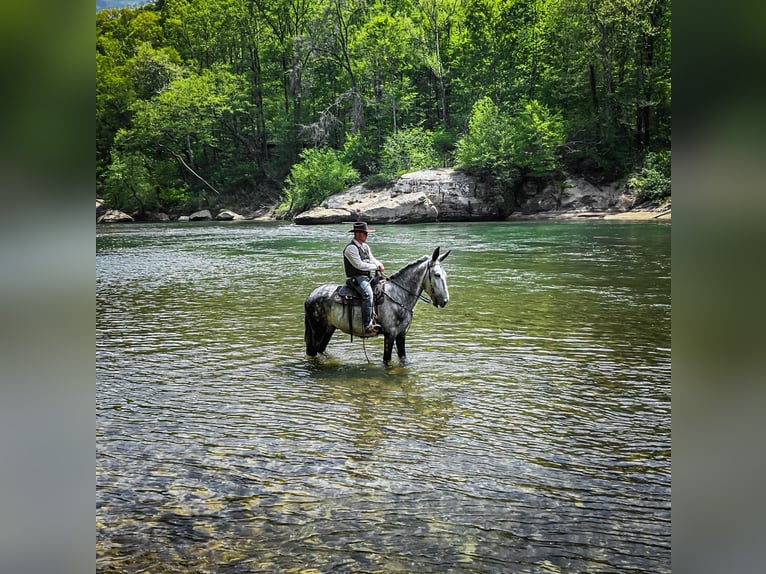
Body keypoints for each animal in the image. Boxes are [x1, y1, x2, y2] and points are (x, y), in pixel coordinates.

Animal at [304, 248, 452, 364]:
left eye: (445, 274)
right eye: (437, 274)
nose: (445, 301)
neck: (399, 295)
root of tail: (310, 297)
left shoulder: (401, 335)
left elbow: (403, 359)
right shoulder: (390, 334)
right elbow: (387, 360)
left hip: (329, 329)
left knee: (320, 350)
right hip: (318, 331)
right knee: (313, 352)